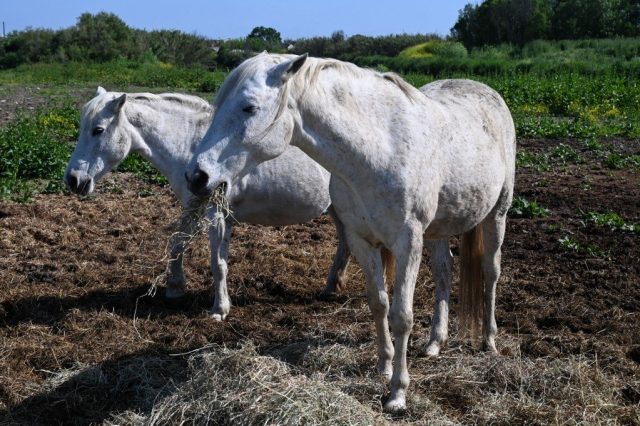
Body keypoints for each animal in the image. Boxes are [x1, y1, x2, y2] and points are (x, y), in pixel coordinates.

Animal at [64, 87, 352, 321]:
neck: (192, 146)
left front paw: (219, 309)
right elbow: (177, 243)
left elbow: (218, 263)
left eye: (98, 130)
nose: (73, 180)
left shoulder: (215, 212)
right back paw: (331, 287)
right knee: (345, 243)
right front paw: (175, 289)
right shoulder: (194, 207)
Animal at [185, 53, 516, 412]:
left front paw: (397, 394)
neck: (380, 150)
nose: (197, 176)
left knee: (491, 273)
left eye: (249, 107)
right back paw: (434, 344)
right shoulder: (362, 240)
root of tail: (488, 92)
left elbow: (402, 316)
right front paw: (384, 366)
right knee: (445, 271)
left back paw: (488, 340)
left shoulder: (407, 242)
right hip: (439, 230)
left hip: (496, 214)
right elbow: (379, 303)